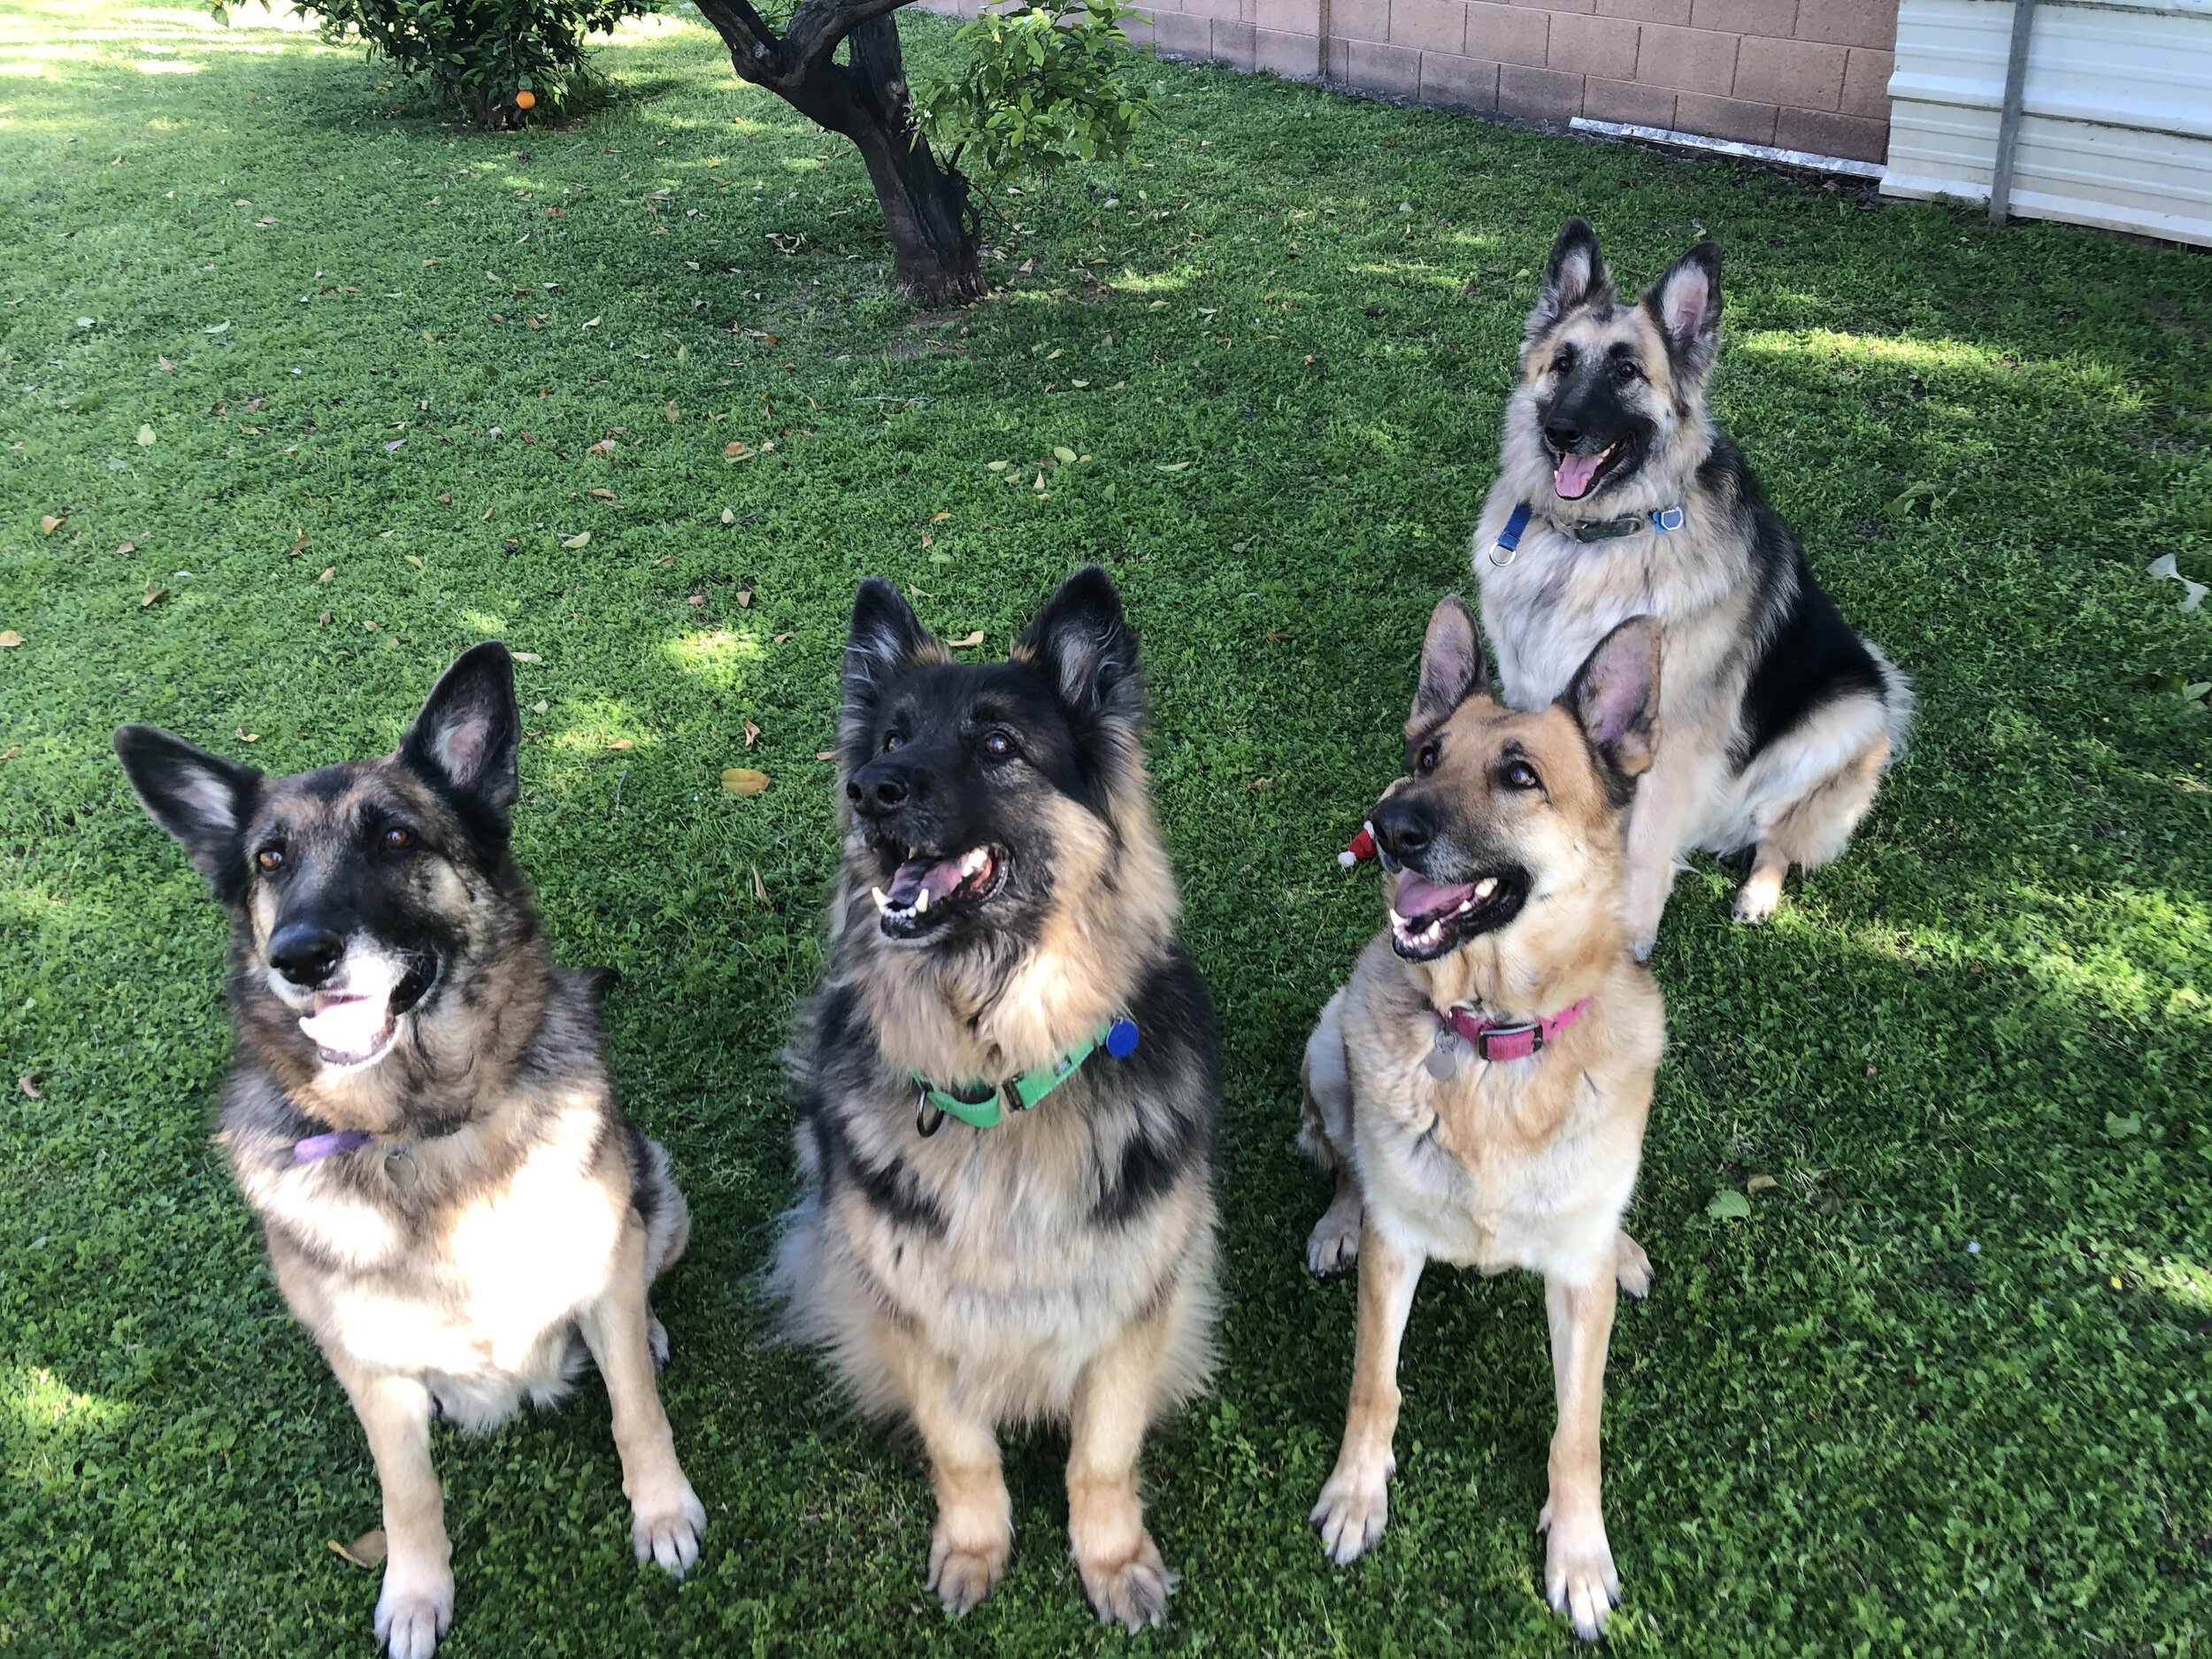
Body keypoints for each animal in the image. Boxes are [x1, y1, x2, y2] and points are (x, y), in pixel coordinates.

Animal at [114, 646, 699, 1659]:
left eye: (393, 837)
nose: (301, 954)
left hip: (656, 1191)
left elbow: (637, 1412)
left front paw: (662, 1514)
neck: (425, 1130)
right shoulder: (370, 1368)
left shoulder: (603, 1274)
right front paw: (417, 1593)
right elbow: (408, 1492)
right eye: (269, 859)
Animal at [774, 571, 1230, 1637]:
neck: (1007, 1079)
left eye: (995, 745)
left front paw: (1113, 1561)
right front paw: (976, 1550)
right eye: (892, 736)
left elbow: (1102, 1458)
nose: (870, 790)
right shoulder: (913, 1312)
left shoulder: (1132, 1304)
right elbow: (963, 1451)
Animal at [1292, 602, 1663, 1655]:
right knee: (1344, 1159)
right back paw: (1335, 1218)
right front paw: (1356, 1493)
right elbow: (1373, 1382)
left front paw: (1579, 1555)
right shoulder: (1398, 1253)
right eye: (1425, 754)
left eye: (1520, 774)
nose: (1390, 827)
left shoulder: (1574, 1289)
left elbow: (1577, 1432)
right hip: (1327, 1043)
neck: (1492, 1041)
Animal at [1478, 218, 1911, 960]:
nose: (1561, 432)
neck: (1592, 541)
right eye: (1562, 363)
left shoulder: (1674, 745)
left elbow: (1649, 849)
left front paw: (1629, 938)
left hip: (1849, 715)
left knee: (1779, 837)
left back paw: (1759, 892)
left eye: (1626, 370)